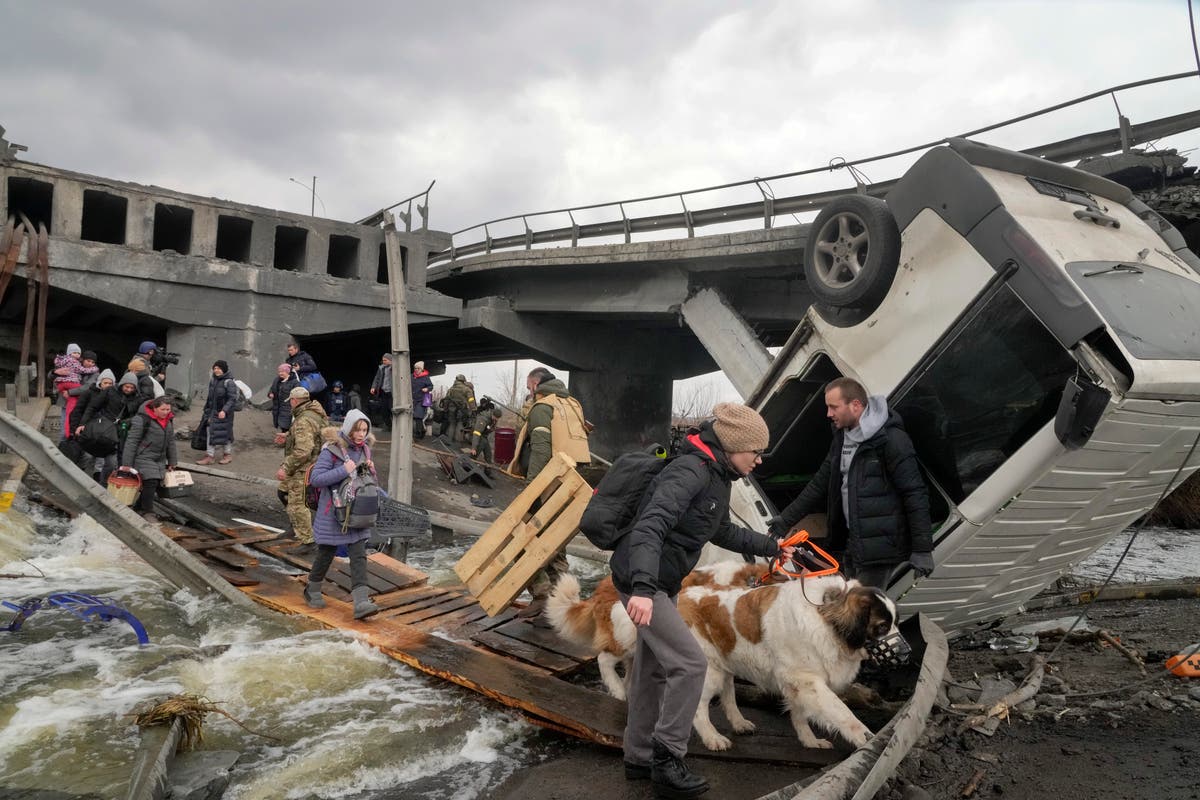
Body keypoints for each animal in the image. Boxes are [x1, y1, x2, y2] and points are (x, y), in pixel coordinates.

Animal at [544, 563, 902, 753]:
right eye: (882, 627)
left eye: (895, 622)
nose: (907, 653)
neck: (826, 615)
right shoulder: (809, 682)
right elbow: (841, 712)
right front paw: (865, 737)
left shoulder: (796, 682)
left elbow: (800, 715)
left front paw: (810, 741)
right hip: (707, 670)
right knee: (696, 707)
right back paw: (712, 737)